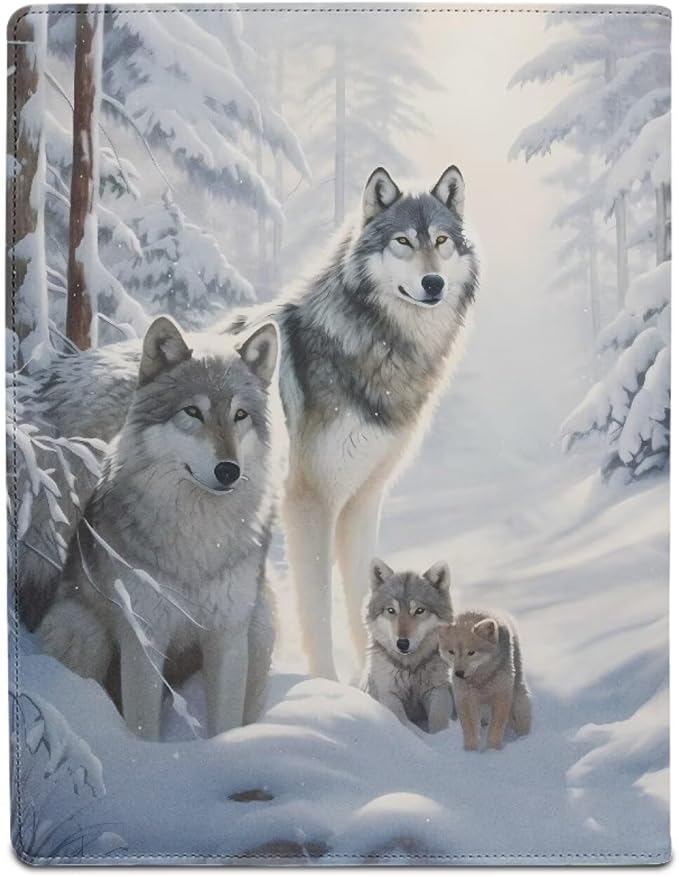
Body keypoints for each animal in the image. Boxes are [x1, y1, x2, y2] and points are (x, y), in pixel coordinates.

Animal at [20, 163, 479, 680]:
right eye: (403, 241)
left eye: (441, 241)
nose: (433, 283)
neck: (378, 347)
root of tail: (40, 383)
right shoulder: (309, 502)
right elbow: (317, 610)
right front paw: (328, 684)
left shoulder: (363, 501)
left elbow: (366, 596)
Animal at [37, 316, 281, 739]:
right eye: (193, 412)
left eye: (240, 415)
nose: (229, 471)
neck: (200, 538)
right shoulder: (144, 637)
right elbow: (142, 726)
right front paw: (148, 757)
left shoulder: (229, 636)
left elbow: (225, 723)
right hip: (81, 632)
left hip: (261, 628)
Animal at [360, 558, 454, 734]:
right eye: (391, 610)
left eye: (419, 610)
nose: (402, 643)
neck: (410, 668)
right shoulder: (389, 695)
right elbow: (403, 723)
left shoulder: (437, 690)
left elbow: (439, 719)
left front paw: (441, 737)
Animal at [438, 611, 532, 751]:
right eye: (451, 652)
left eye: (471, 652)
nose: (458, 673)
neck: (481, 679)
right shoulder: (465, 698)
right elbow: (470, 731)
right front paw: (471, 752)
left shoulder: (501, 695)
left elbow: (495, 729)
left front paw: (493, 750)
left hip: (519, 700)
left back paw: (524, 739)